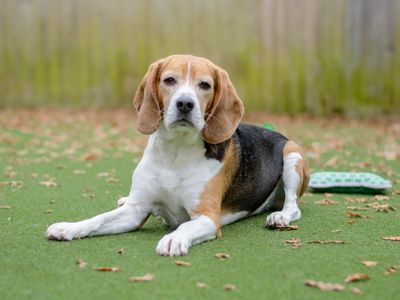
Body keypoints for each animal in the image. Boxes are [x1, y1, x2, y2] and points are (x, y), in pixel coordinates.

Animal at [47, 54, 310, 255]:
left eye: (205, 85)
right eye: (169, 80)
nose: (185, 103)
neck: (175, 152)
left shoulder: (207, 217)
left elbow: (184, 227)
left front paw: (174, 239)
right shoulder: (134, 212)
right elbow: (98, 219)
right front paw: (68, 228)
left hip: (292, 155)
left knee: (293, 205)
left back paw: (280, 217)